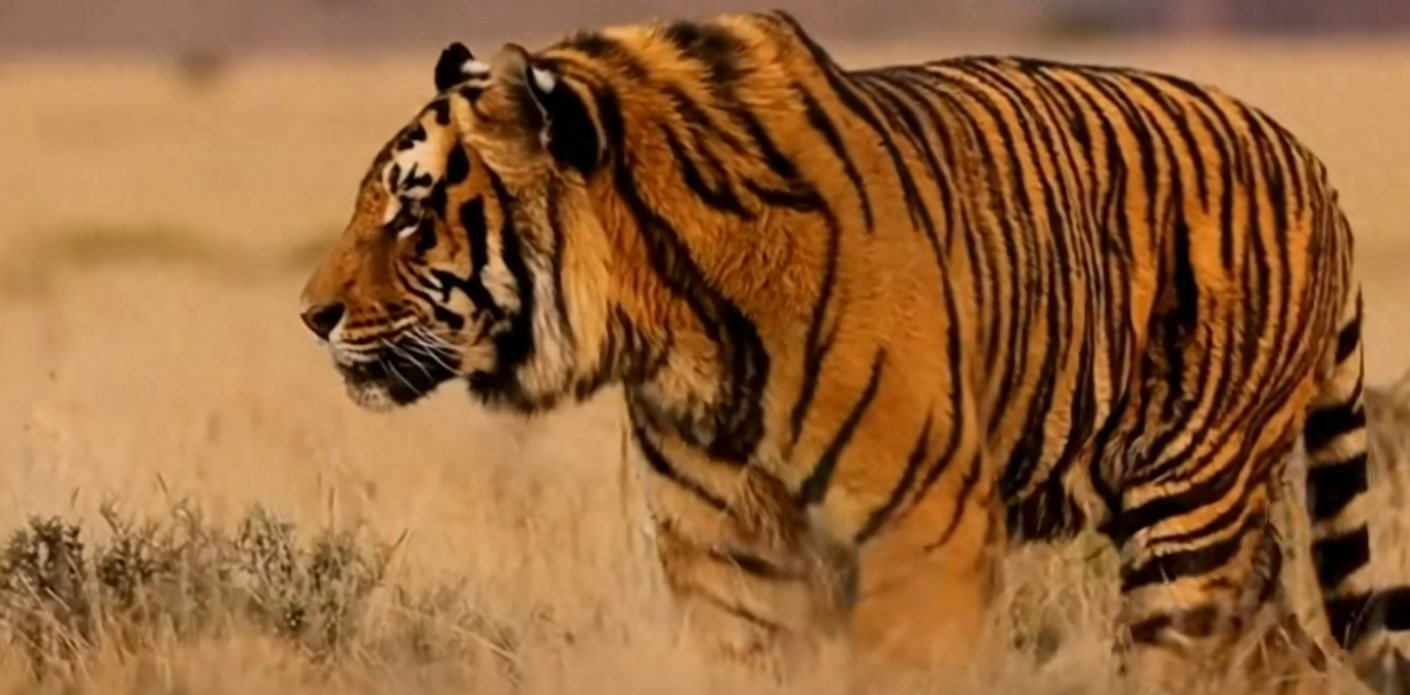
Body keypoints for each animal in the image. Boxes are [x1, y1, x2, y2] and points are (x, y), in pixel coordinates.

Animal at [297, 9, 1410, 694]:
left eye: (410, 213)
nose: (310, 314)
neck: (675, 323)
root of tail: (1316, 169)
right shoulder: (726, 545)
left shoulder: (923, 525)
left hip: (1188, 513)